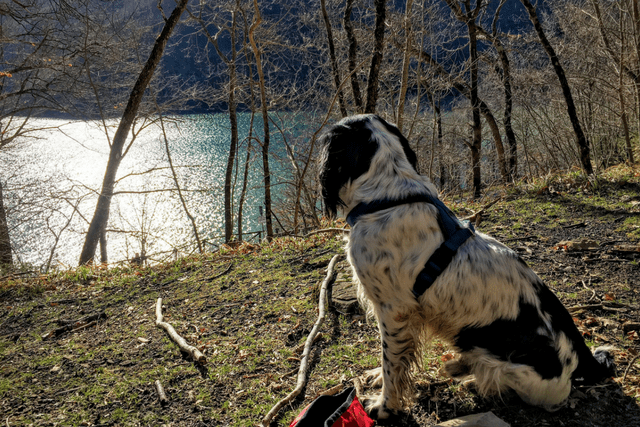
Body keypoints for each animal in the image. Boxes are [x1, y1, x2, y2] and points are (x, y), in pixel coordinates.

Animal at [318, 113, 616, 418]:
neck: (387, 198)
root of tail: (582, 359)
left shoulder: (393, 310)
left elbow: (392, 362)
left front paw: (384, 406)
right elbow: (391, 360)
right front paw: (378, 377)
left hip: (508, 364)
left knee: (498, 377)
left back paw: (470, 377)